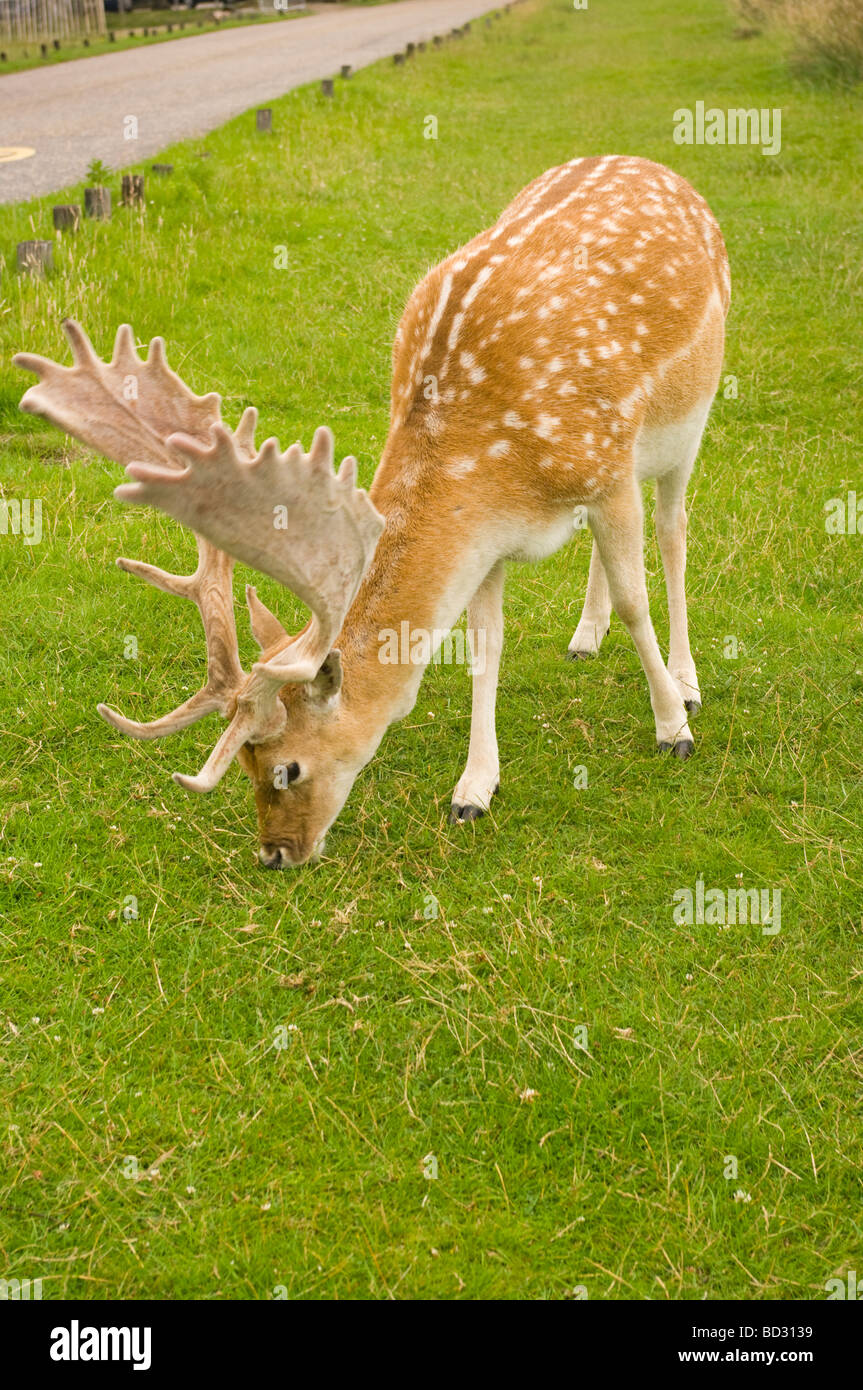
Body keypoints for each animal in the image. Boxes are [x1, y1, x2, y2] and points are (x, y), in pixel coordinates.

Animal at [16, 154, 728, 867]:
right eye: (244, 766)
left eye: (288, 767)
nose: (275, 853)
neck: (496, 463)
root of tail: (657, 167)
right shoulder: (493, 534)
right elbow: (484, 644)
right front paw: (474, 788)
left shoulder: (606, 471)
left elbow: (637, 600)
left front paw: (672, 728)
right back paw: (585, 636)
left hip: (686, 422)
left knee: (672, 533)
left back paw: (687, 681)